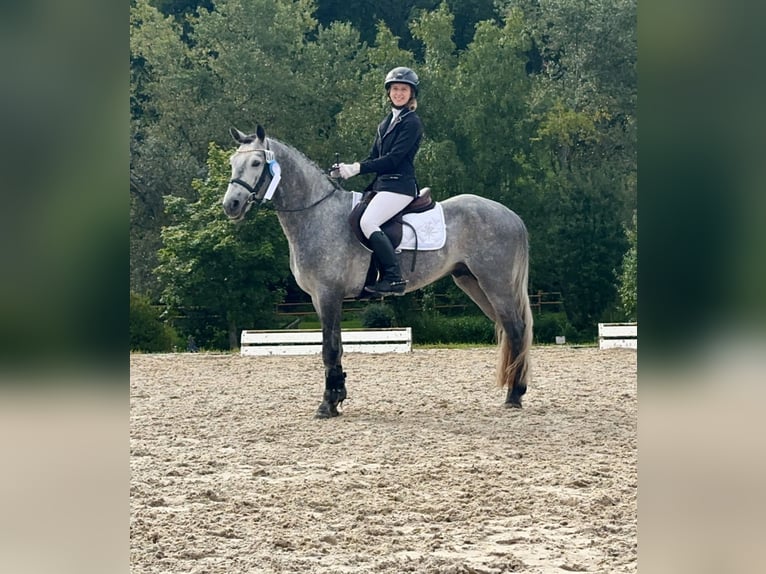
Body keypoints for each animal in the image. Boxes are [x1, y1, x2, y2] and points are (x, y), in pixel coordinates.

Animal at [222, 125, 533, 418]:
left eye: (256, 163)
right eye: (232, 163)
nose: (231, 205)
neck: (317, 214)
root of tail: (512, 216)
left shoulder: (328, 294)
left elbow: (328, 348)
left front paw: (326, 404)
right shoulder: (318, 299)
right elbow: (337, 346)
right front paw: (337, 397)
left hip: (496, 284)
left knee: (516, 329)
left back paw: (514, 395)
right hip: (472, 282)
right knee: (508, 328)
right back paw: (514, 390)